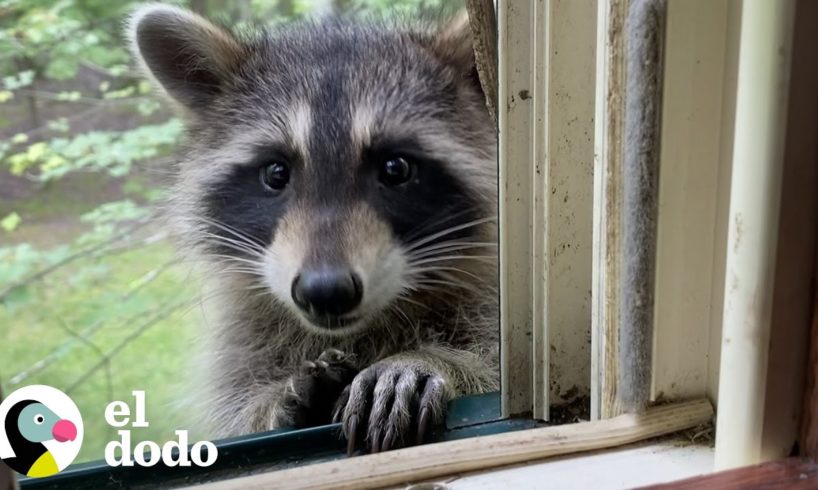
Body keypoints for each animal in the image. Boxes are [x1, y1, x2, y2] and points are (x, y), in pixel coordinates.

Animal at [126, 1, 498, 454]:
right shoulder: (242, 340)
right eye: (275, 173)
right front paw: (270, 402)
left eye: (396, 168)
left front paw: (429, 359)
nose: (326, 291)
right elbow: (238, 411)